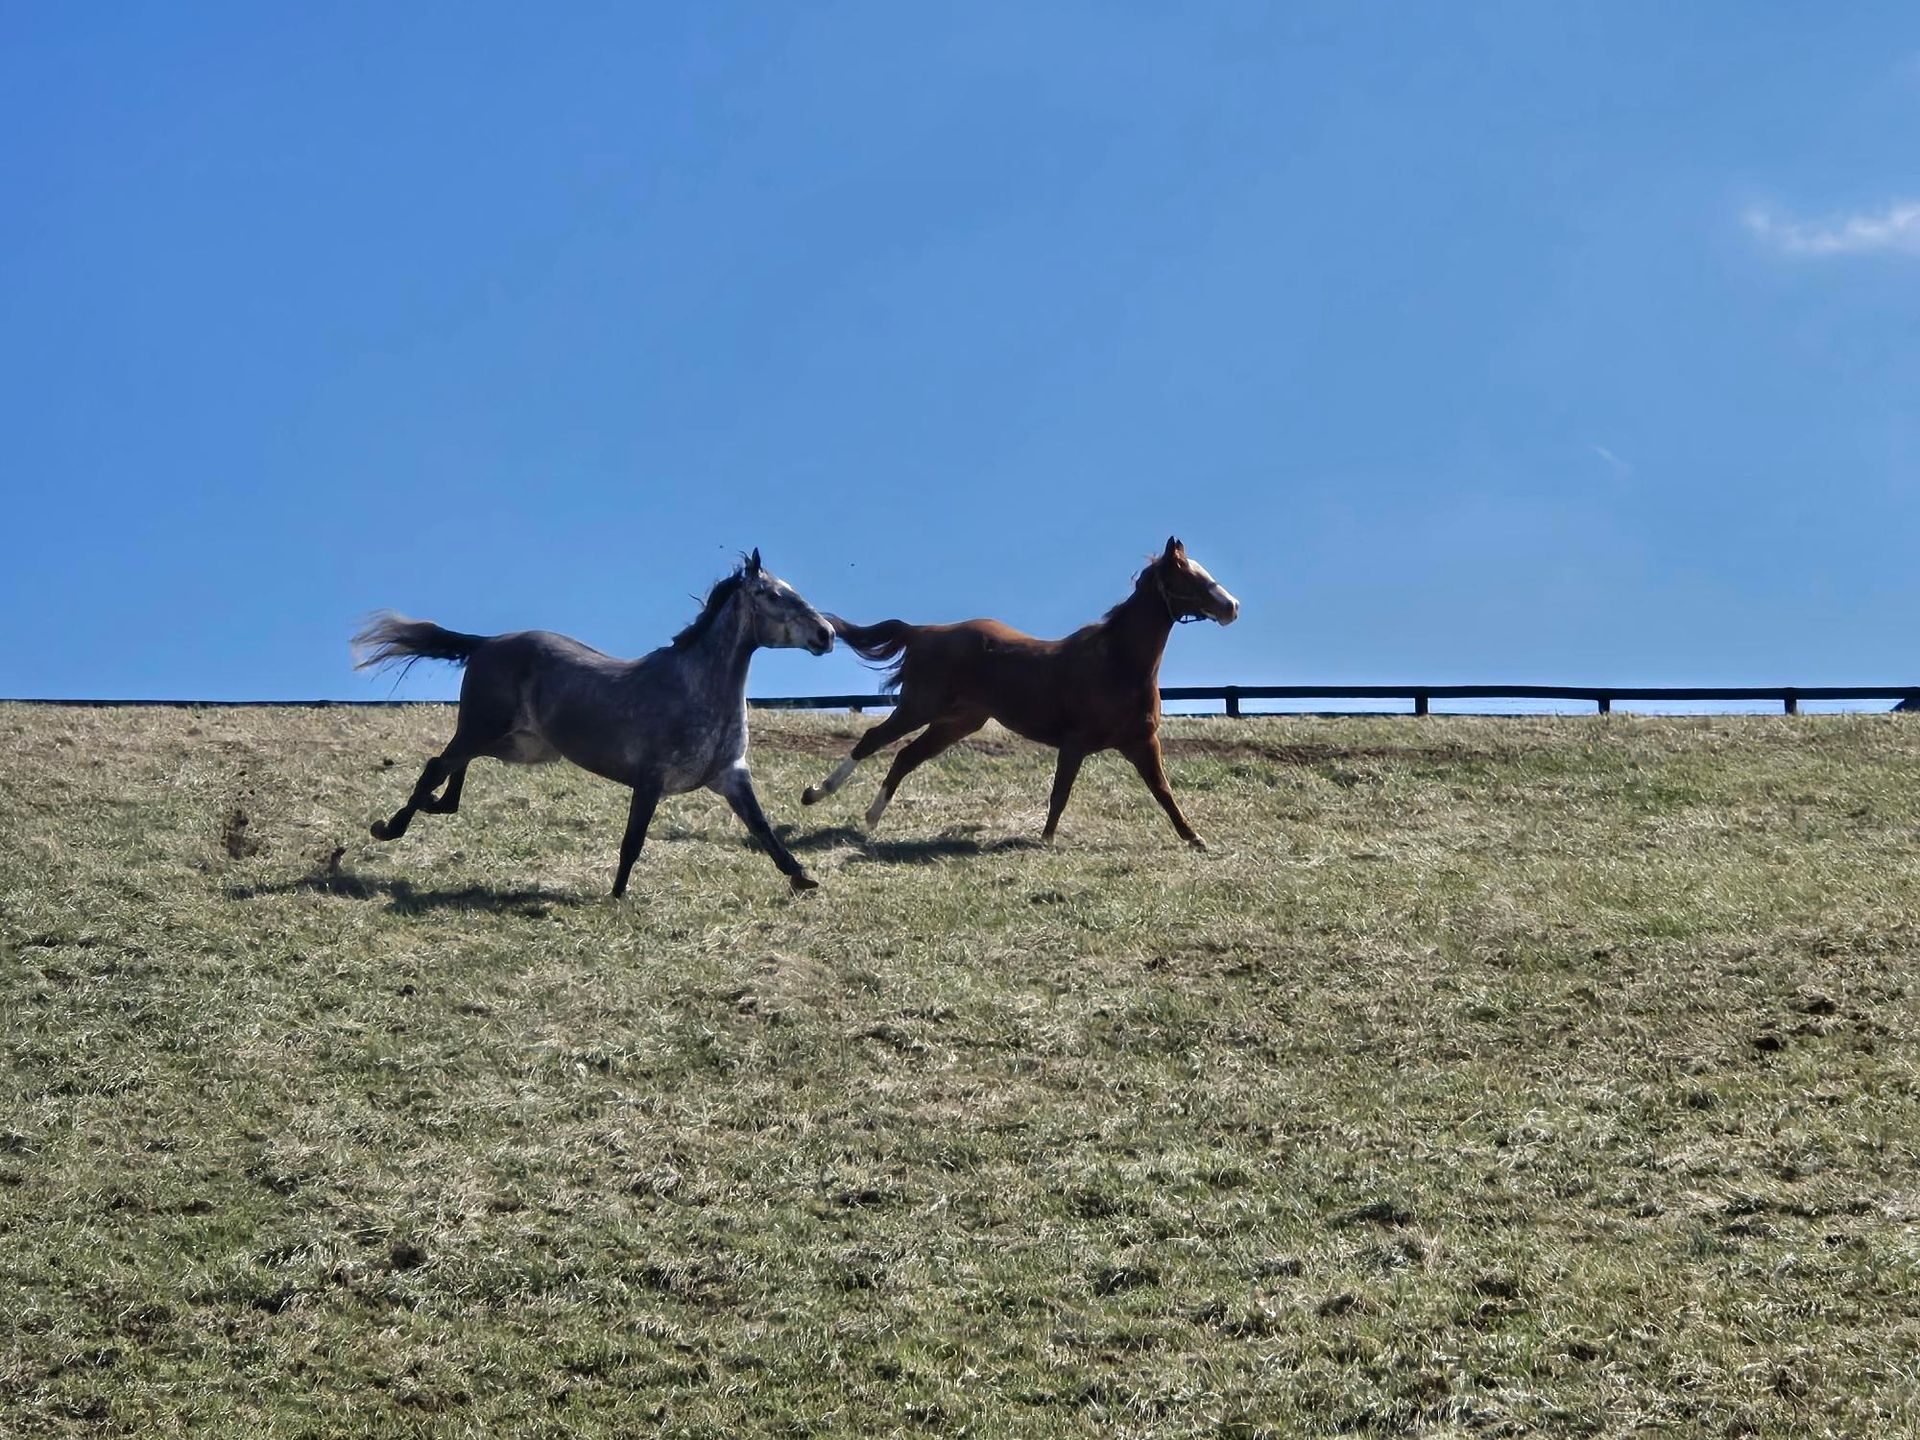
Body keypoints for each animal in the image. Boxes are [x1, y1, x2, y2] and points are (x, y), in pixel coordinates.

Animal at [352, 550, 835, 898]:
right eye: (773, 595)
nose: (826, 634)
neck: (696, 689)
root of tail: (486, 643)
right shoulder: (650, 779)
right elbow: (633, 841)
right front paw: (617, 897)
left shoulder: (730, 775)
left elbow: (763, 829)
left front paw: (801, 876)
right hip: (484, 728)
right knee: (438, 766)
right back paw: (388, 828)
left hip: (520, 744)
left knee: (451, 771)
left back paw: (431, 808)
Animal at [801, 537, 1239, 847]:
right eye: (1188, 576)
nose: (1232, 606)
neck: (1118, 663)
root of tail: (922, 631)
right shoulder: (1075, 743)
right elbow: (1060, 792)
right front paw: (1044, 840)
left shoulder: (1141, 742)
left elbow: (1163, 792)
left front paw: (1195, 839)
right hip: (918, 707)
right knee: (873, 740)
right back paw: (817, 793)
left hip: (956, 723)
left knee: (905, 757)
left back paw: (871, 818)